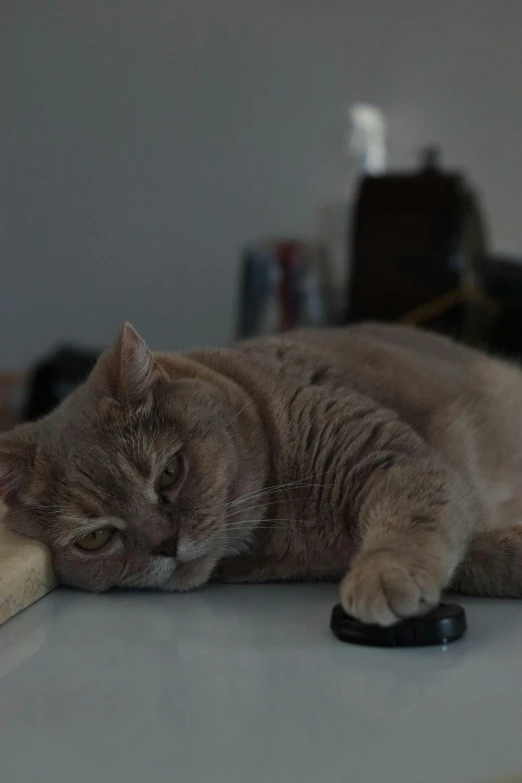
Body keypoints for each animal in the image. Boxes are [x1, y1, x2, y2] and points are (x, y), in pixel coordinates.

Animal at [1, 322, 520, 628]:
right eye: (94, 539)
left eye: (169, 473)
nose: (165, 543)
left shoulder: (388, 457)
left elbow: (413, 516)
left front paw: (383, 574)